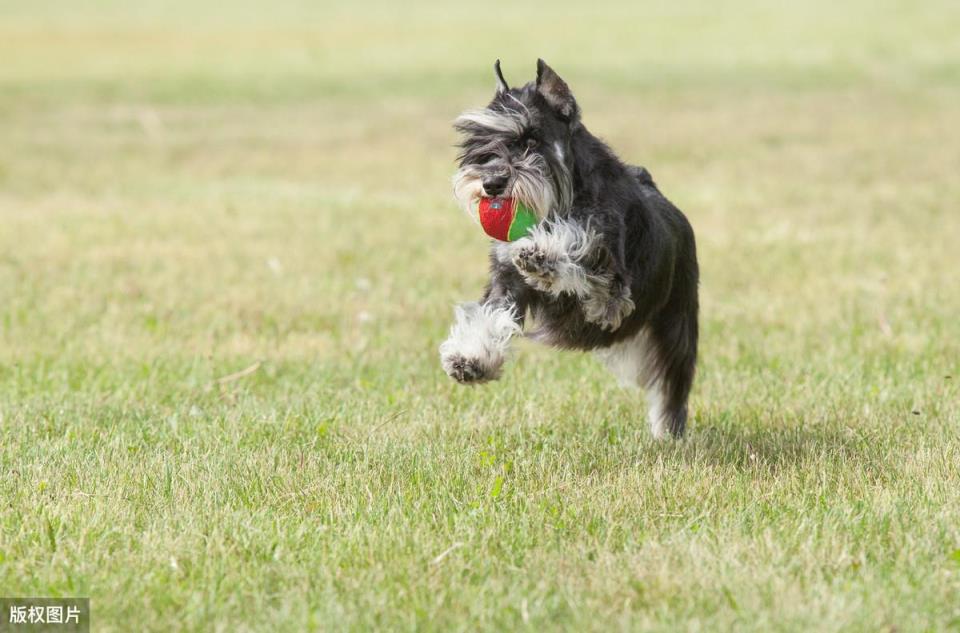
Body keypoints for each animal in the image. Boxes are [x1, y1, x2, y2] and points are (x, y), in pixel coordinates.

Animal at [440, 59, 696, 436]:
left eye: (531, 139)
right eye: (481, 142)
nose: (491, 183)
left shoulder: (611, 289)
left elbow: (578, 239)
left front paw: (541, 253)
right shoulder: (506, 282)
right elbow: (490, 316)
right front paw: (470, 359)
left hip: (677, 326)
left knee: (672, 385)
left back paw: (668, 433)